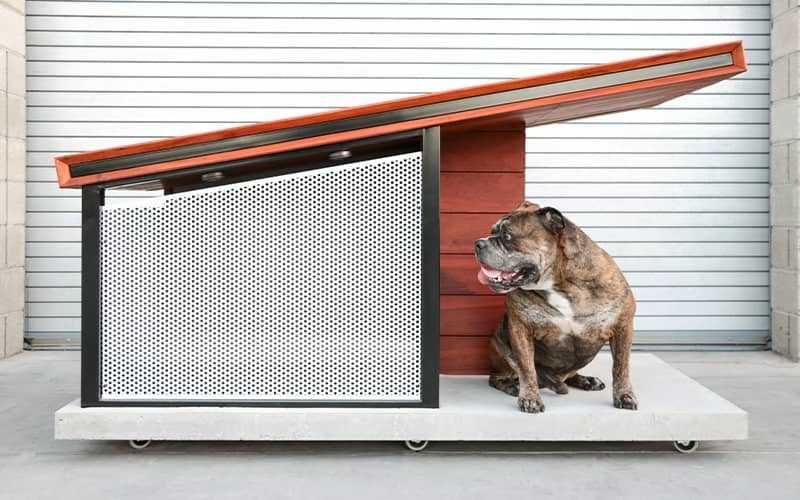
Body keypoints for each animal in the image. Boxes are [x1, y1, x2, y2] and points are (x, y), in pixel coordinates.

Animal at [476, 200, 636, 414]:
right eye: (492, 231)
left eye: (507, 236)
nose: (478, 243)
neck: (561, 285)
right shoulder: (520, 328)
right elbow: (527, 368)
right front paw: (530, 398)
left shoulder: (622, 326)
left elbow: (621, 367)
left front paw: (624, 395)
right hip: (499, 342)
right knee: (499, 376)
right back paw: (512, 385)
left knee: (571, 375)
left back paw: (586, 380)